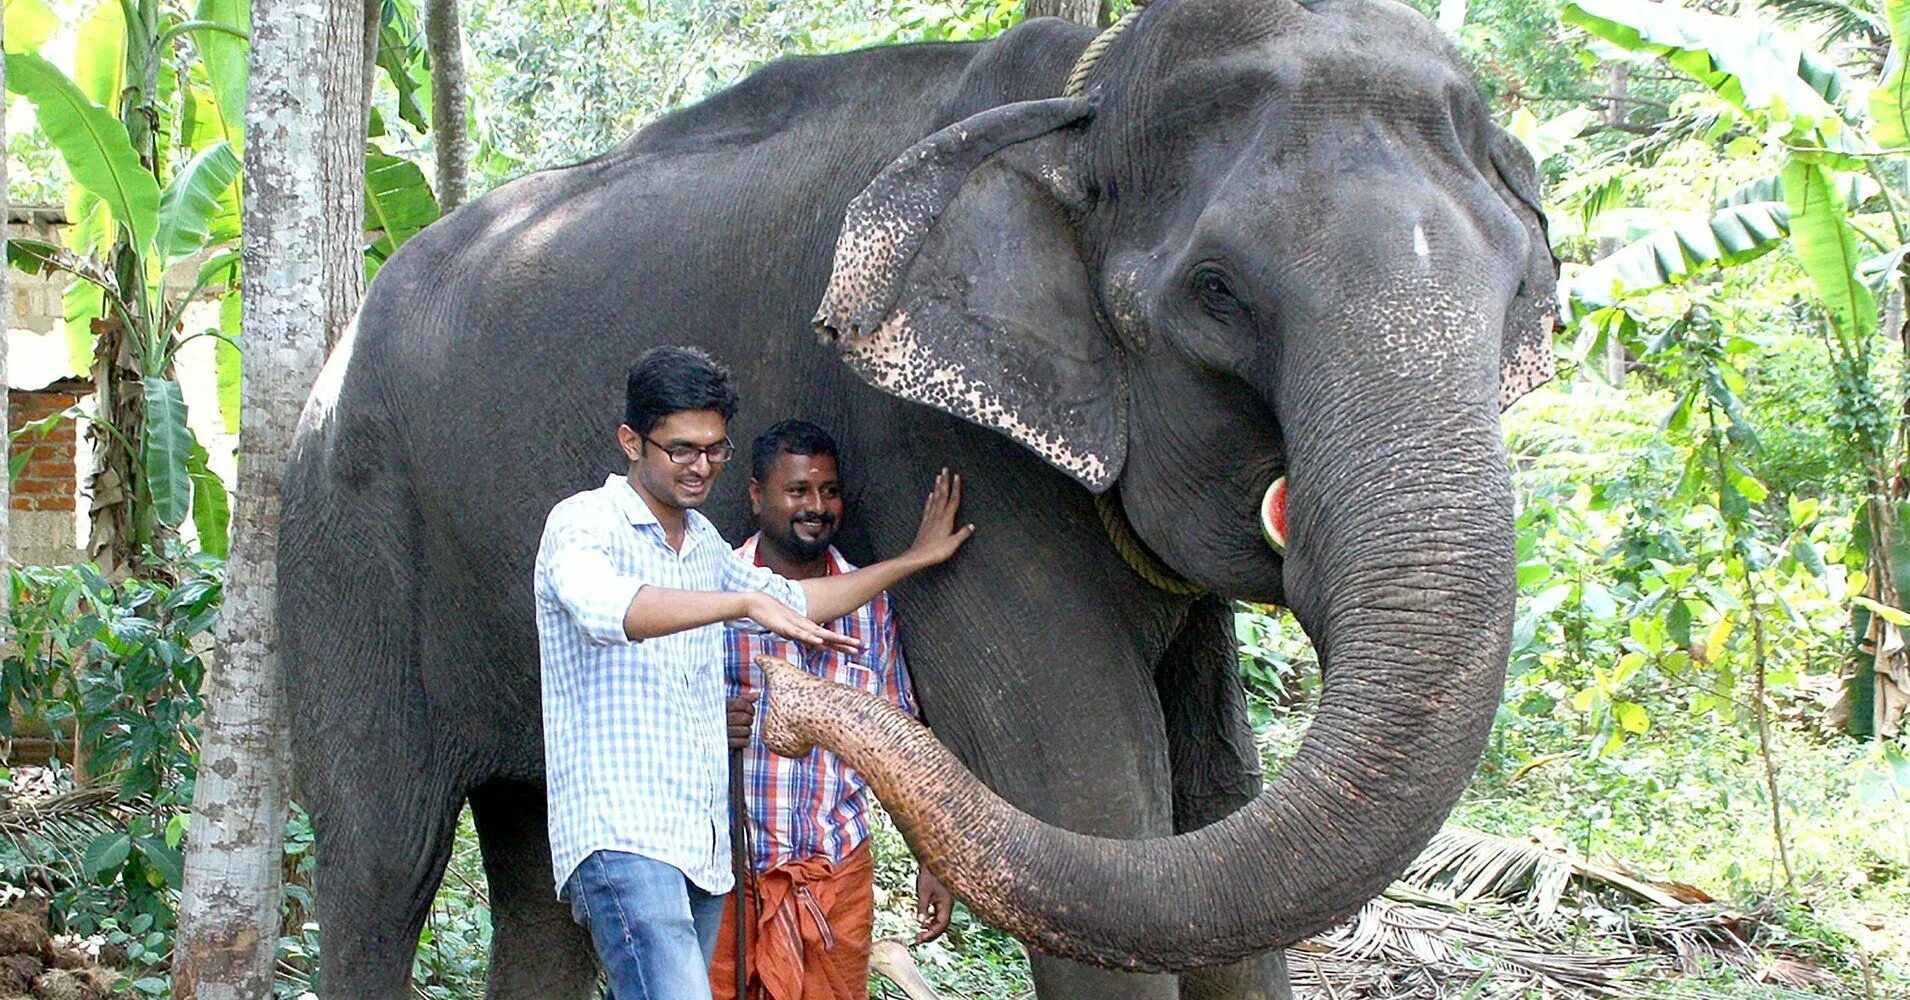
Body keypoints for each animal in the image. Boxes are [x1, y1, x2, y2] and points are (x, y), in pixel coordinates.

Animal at [278, 0, 1550, 992]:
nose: (782, 705)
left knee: (541, 878)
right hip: (344, 535)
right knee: (380, 862)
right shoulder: (933, 444)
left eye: (1516, 290)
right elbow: (1092, 802)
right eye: (1217, 290)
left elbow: (1213, 802)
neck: (1080, 98)